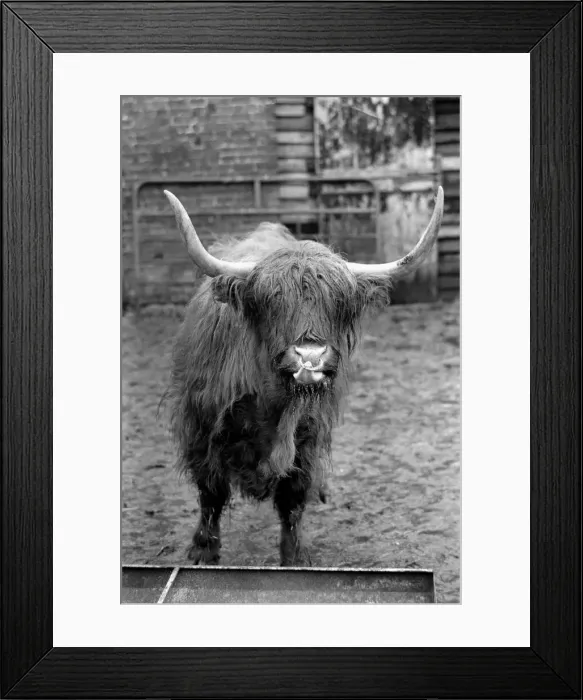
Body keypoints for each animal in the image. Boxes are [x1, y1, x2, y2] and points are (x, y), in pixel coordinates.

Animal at [163, 186, 444, 566]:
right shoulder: (200, 426)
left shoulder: (308, 436)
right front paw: (202, 550)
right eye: (270, 302)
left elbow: (293, 500)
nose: (310, 357)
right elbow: (211, 492)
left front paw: (295, 556)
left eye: (338, 302)